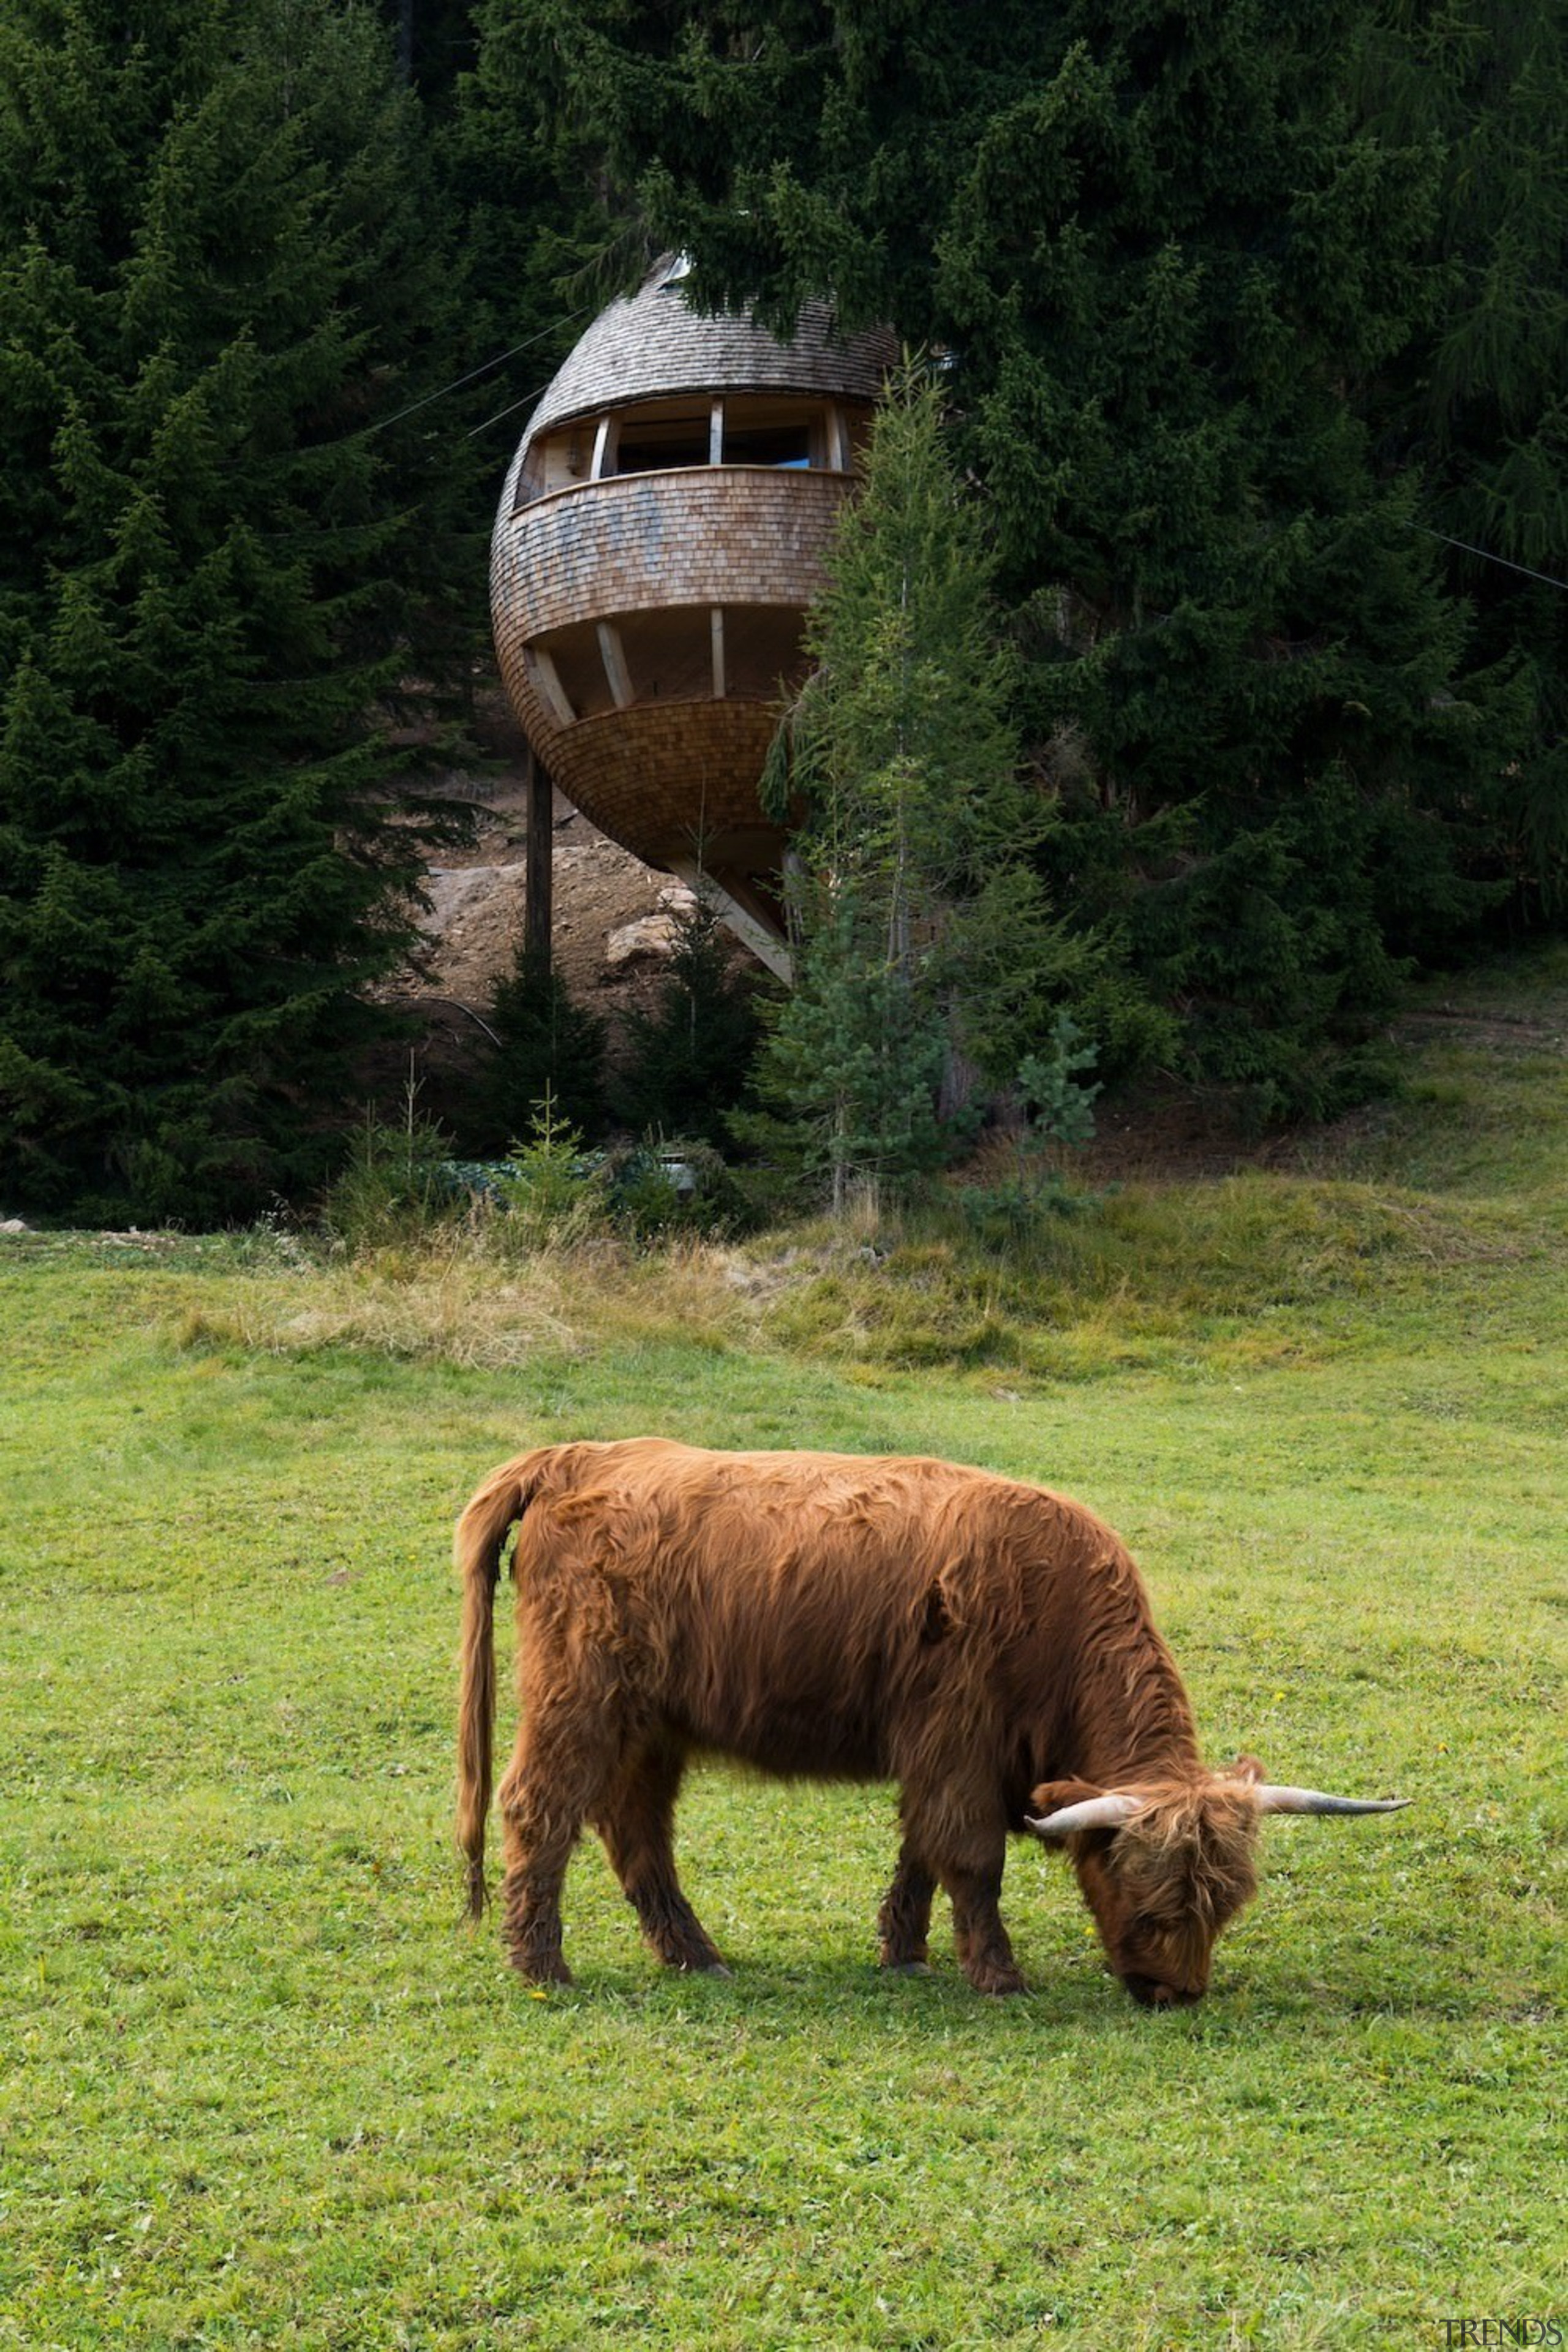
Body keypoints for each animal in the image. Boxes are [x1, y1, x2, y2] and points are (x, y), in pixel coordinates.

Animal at [453, 1430, 1410, 2003]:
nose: (1176, 1994)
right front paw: (998, 1975)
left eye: (1224, 1903)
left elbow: (920, 1851)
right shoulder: (959, 1742)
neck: (1052, 1609)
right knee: (540, 1806)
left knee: (634, 1827)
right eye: (1146, 1899)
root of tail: (577, 1457)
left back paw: (698, 1954)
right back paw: (542, 1965)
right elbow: (971, 1859)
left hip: (653, 1724)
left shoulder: (943, 1754)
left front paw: (904, 1951)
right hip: (579, 1696)